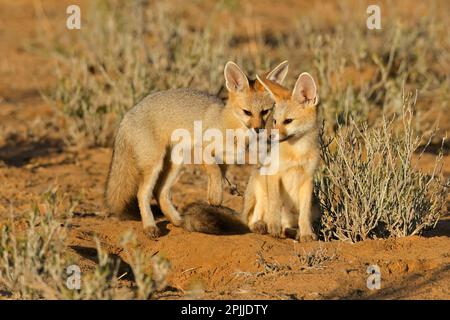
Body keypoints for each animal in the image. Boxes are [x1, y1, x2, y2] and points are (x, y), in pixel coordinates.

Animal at [105, 60, 288, 238]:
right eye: (247, 112)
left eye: (265, 112)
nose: (258, 129)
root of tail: (128, 115)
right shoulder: (201, 151)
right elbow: (214, 172)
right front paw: (216, 197)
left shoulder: (225, 162)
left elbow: (216, 178)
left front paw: (213, 199)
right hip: (155, 165)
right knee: (143, 194)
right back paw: (150, 226)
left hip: (175, 164)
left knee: (160, 192)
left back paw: (178, 220)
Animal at [241, 71, 322, 241]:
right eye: (275, 121)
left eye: (288, 121)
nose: (270, 136)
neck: (298, 153)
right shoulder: (273, 174)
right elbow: (275, 203)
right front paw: (273, 226)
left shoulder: (308, 179)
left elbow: (304, 214)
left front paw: (306, 233)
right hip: (259, 184)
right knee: (252, 219)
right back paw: (261, 226)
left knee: (288, 225)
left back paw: (293, 232)